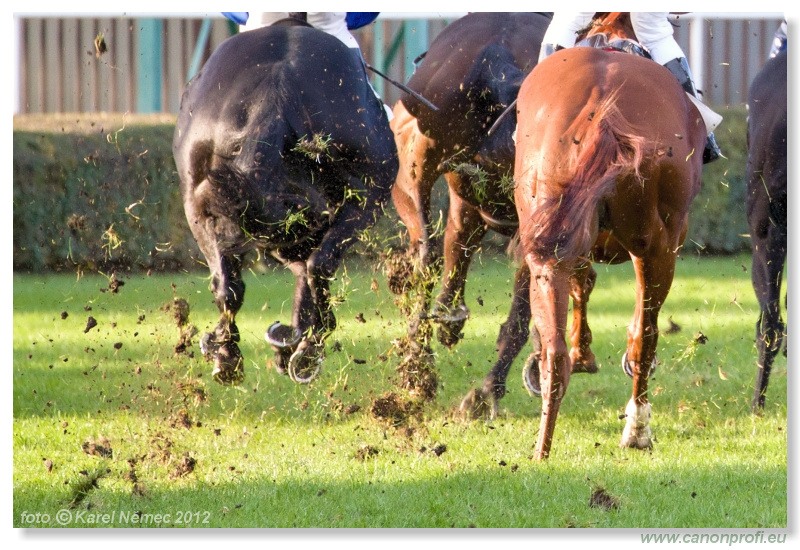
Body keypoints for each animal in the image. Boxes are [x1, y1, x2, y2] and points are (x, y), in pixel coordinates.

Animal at [512, 14, 708, 462]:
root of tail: (603, 115)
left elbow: (582, 283)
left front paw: (582, 353)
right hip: (658, 246)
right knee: (645, 336)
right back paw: (637, 429)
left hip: (548, 234)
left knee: (556, 349)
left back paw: (542, 446)